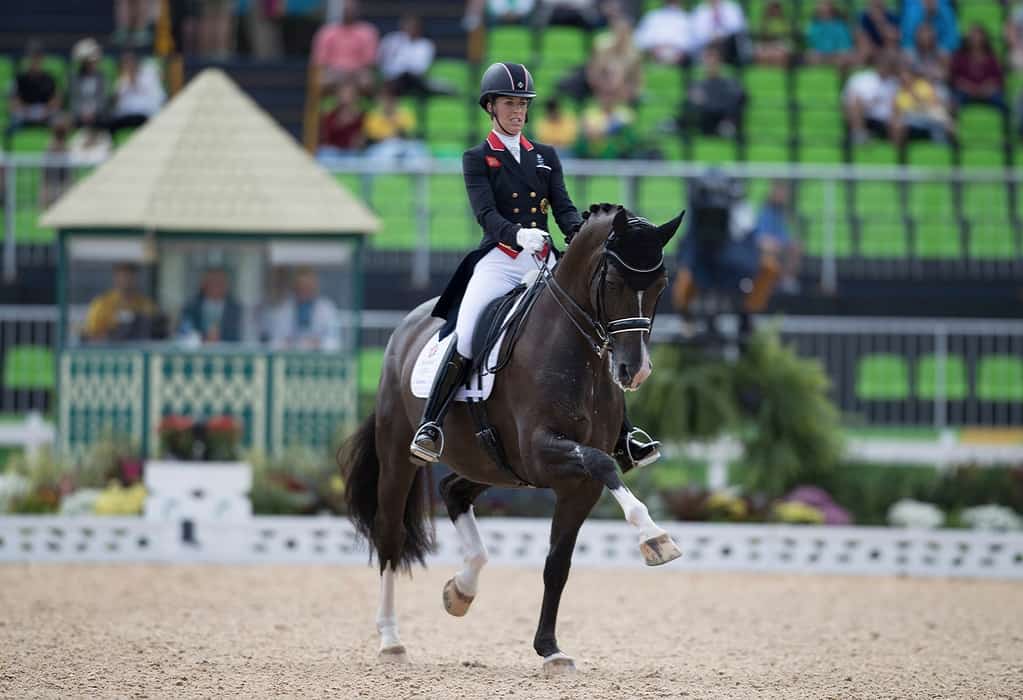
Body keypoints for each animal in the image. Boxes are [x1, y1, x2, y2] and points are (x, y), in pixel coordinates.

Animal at [339, 203, 685, 675]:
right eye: (614, 282)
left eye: (661, 284)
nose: (635, 371)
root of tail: (405, 329)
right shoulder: (543, 451)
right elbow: (603, 463)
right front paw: (654, 538)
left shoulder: (576, 485)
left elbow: (558, 564)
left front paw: (550, 649)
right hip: (398, 456)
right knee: (390, 535)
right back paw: (391, 639)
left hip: (492, 464)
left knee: (454, 491)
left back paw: (461, 589)